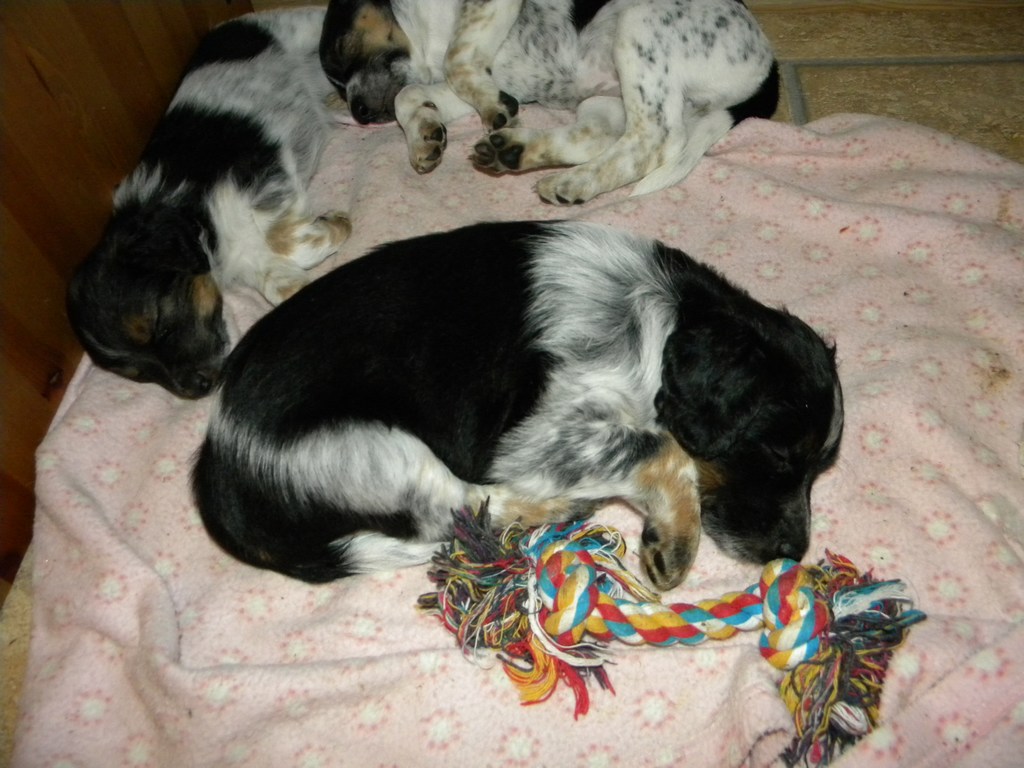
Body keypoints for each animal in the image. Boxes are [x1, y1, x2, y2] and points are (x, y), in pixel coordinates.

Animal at [67, 8, 350, 399]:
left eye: (159, 324)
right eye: (137, 373)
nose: (197, 389)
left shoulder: (262, 171)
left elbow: (281, 239)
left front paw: (332, 226)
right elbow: (272, 276)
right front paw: (295, 275)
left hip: (311, 32)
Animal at [193, 221, 843, 590]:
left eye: (818, 469)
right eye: (779, 455)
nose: (793, 554)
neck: (660, 316)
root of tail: (217, 466)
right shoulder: (532, 437)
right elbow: (663, 448)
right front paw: (675, 540)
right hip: (372, 449)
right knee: (465, 509)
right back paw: (560, 507)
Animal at [319, 0, 778, 204]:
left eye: (341, 47)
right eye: (336, 84)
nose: (358, 113)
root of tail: (769, 63)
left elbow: (456, 58)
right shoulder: (481, 83)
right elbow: (410, 94)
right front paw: (425, 136)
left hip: (640, 22)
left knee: (658, 138)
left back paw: (565, 179)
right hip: (605, 99)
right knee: (598, 140)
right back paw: (520, 153)